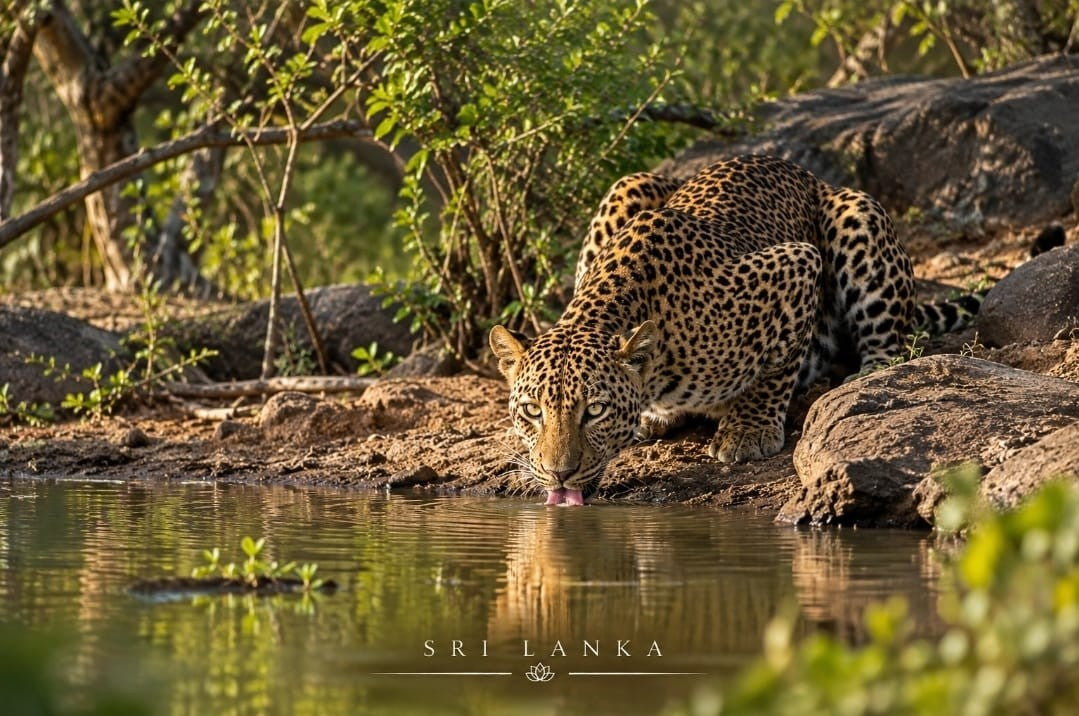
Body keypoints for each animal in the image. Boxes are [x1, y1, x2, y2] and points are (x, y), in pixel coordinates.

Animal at [490, 154, 979, 506]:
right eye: (532, 411)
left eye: (594, 411)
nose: (559, 474)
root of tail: (804, 173)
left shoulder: (796, 264)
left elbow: (776, 367)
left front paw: (748, 431)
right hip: (629, 184)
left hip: (858, 214)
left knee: (888, 338)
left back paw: (869, 373)